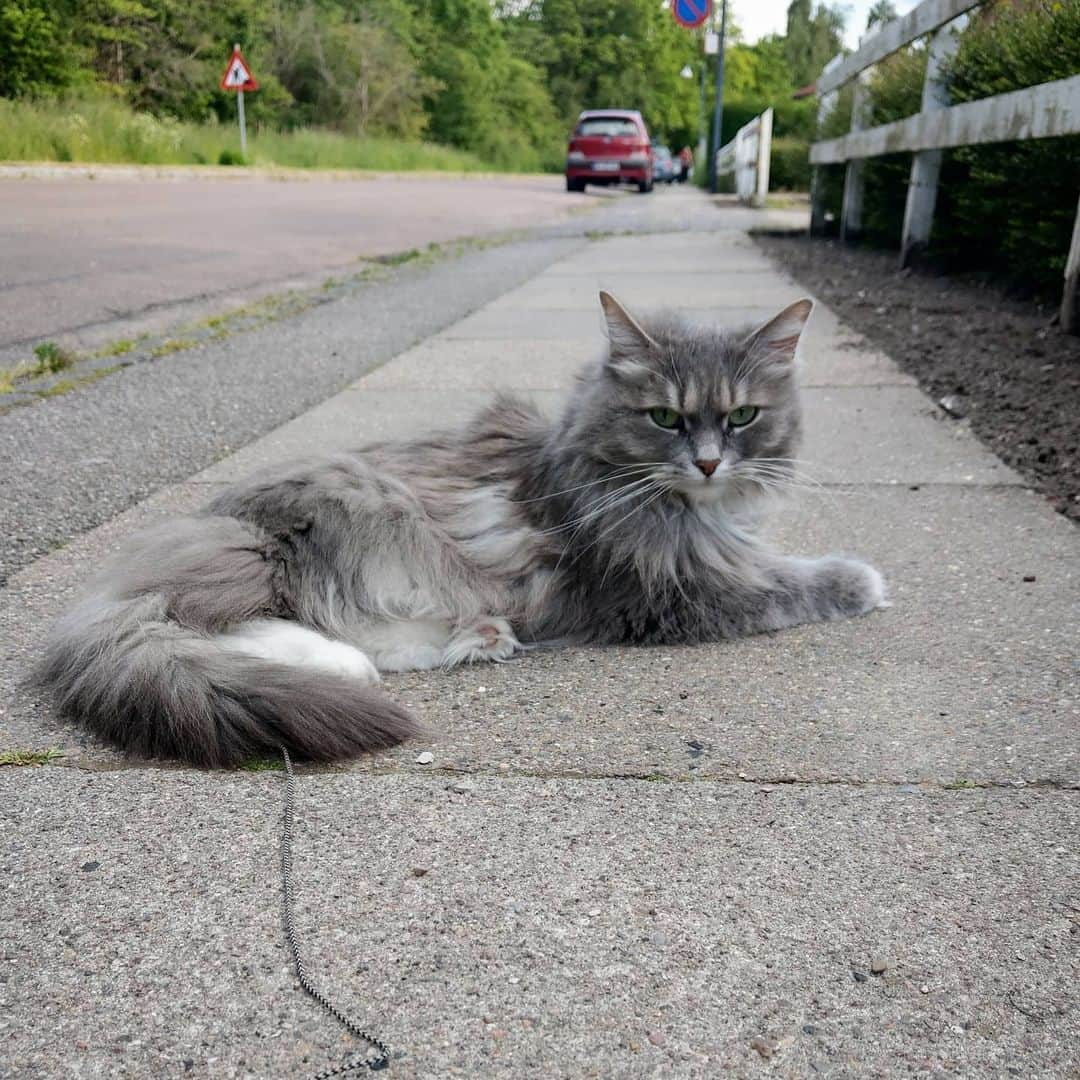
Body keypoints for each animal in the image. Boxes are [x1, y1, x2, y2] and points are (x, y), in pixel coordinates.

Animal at [35, 293, 885, 768]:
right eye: (665, 419)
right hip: (356, 521)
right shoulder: (674, 595)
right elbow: (794, 583)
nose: (708, 463)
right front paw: (865, 580)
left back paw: (475, 641)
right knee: (243, 624)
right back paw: (359, 666)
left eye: (742, 417)